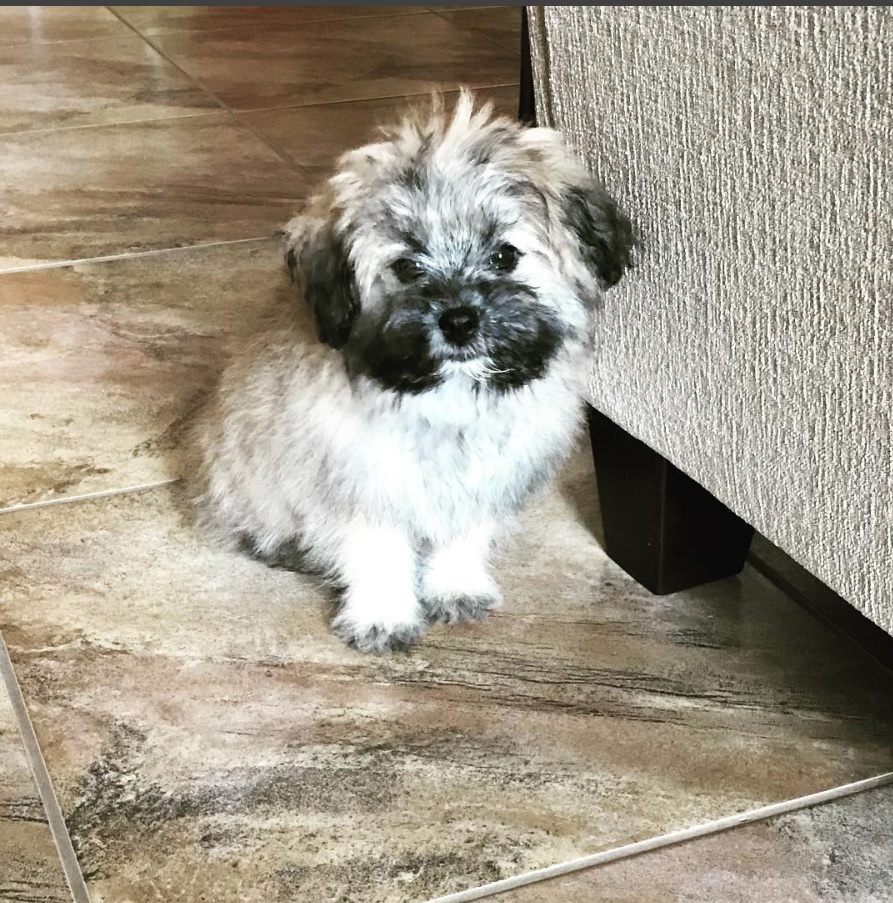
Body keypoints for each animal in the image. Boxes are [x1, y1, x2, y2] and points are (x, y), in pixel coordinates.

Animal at [192, 92, 632, 652]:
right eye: (405, 267)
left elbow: (464, 532)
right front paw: (382, 614)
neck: (450, 399)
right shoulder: (362, 480)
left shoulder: (482, 479)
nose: (460, 321)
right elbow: (378, 549)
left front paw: (456, 585)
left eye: (504, 255)